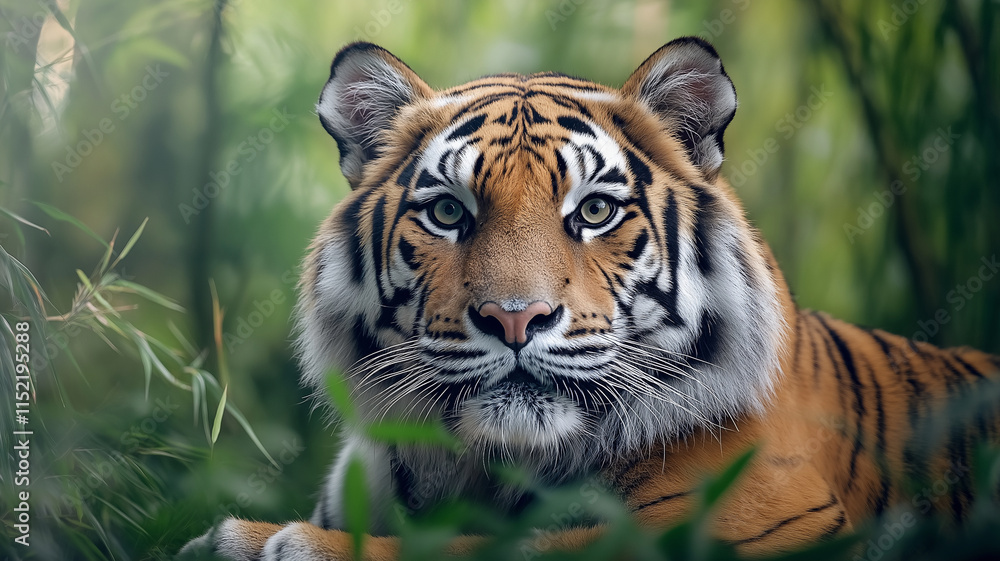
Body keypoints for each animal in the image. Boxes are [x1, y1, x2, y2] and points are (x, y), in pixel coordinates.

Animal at [181, 37, 1000, 560]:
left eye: (596, 210)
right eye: (447, 212)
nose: (515, 318)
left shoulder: (764, 522)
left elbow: (520, 546)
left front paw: (268, 541)